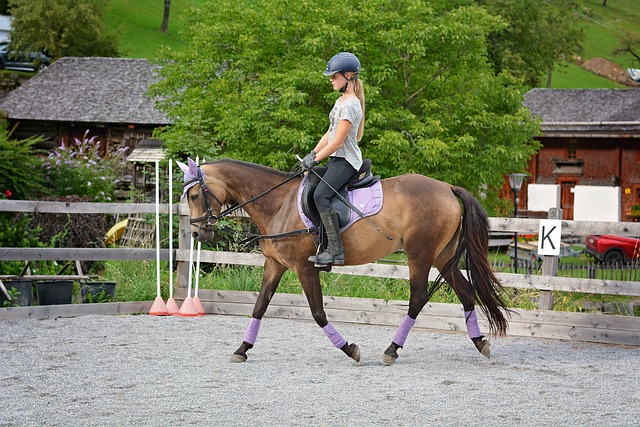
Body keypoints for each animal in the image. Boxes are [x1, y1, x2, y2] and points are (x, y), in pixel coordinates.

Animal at [179, 159, 510, 366]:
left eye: (194, 195)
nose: (197, 233)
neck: (278, 204)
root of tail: (447, 187)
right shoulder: (275, 265)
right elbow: (259, 307)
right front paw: (242, 349)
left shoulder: (304, 267)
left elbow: (317, 313)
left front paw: (350, 349)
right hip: (443, 257)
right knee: (466, 293)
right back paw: (480, 343)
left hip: (420, 255)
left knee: (417, 298)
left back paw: (392, 350)